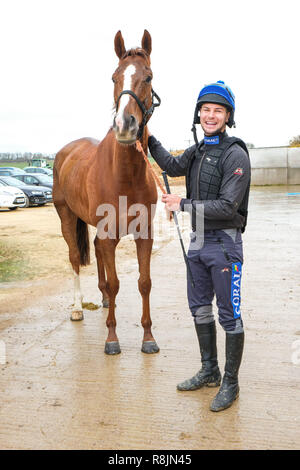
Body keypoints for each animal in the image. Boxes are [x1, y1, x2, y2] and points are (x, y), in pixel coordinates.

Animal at [54, 29, 162, 354]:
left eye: (148, 77)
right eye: (114, 77)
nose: (124, 125)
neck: (125, 175)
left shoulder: (143, 234)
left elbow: (144, 282)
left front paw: (148, 338)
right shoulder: (108, 234)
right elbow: (115, 283)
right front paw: (112, 339)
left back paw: (101, 299)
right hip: (66, 217)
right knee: (74, 258)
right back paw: (78, 308)